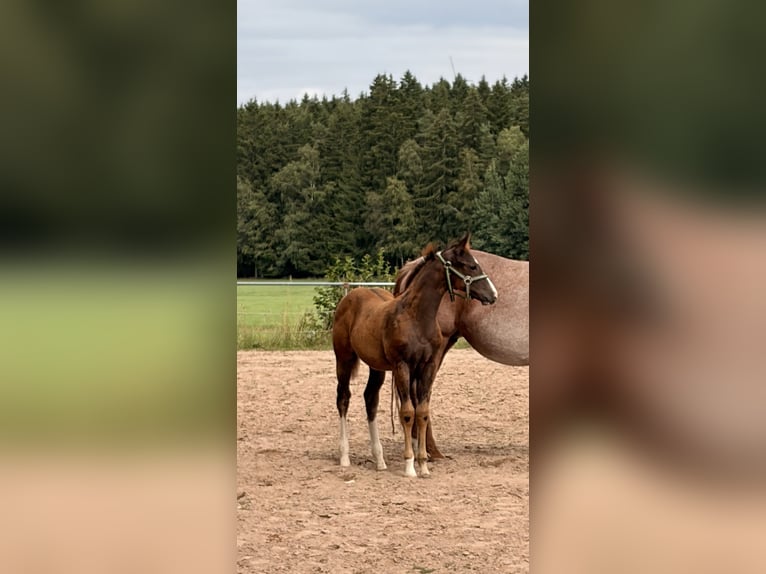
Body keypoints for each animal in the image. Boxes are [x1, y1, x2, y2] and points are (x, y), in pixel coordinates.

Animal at [332, 234, 498, 477]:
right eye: (471, 266)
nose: (493, 295)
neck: (416, 318)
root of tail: (351, 295)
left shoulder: (427, 366)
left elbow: (422, 412)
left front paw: (423, 465)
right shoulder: (403, 366)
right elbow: (408, 412)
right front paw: (410, 466)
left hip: (377, 367)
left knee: (370, 400)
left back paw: (380, 460)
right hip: (343, 358)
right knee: (343, 398)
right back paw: (344, 457)